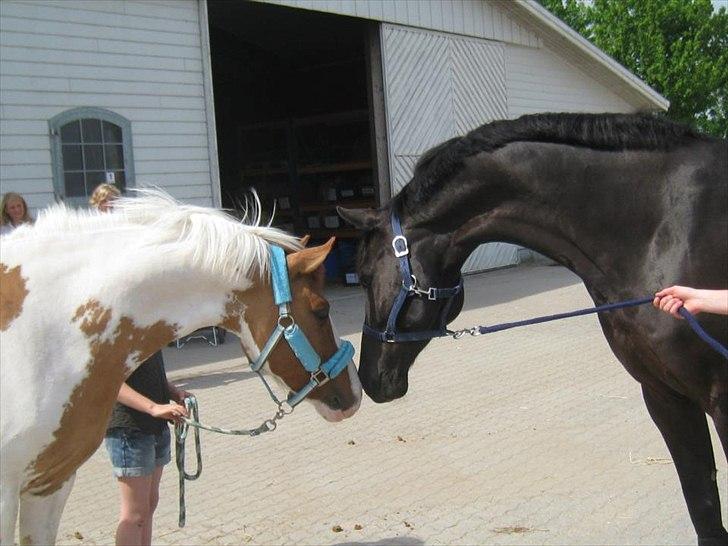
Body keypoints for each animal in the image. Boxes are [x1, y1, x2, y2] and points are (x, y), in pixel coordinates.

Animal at [340, 112, 728, 540]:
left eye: (364, 275)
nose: (370, 379)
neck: (664, 226)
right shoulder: (664, 394)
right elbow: (704, 509)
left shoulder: (721, 399)